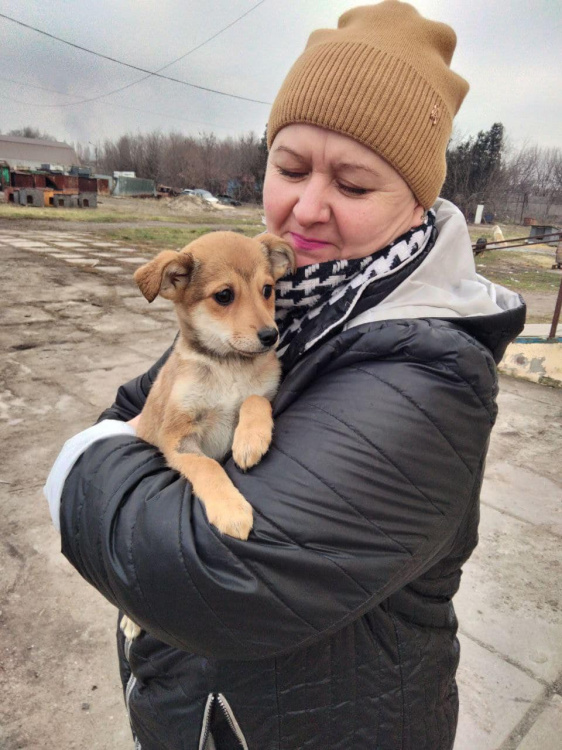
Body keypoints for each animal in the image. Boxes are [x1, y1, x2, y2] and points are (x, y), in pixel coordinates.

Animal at [120, 231, 296, 640]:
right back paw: (132, 623)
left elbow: (253, 400)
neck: (228, 365)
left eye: (267, 289)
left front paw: (250, 439)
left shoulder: (263, 393)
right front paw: (230, 509)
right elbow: (208, 469)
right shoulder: (178, 439)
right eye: (224, 296)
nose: (271, 336)